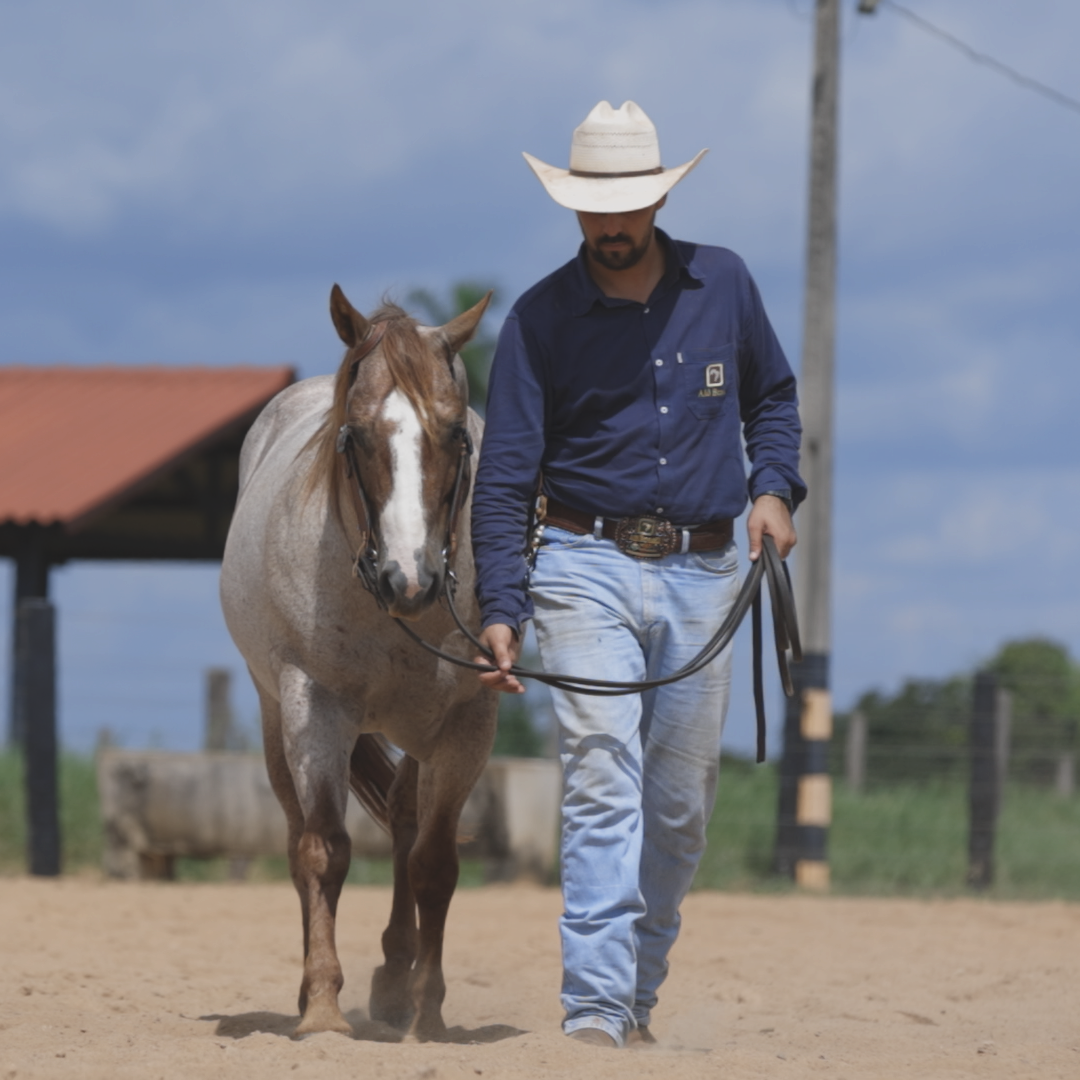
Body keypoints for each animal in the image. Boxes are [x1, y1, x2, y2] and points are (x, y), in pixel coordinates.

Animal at [220, 284, 499, 1039]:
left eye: (454, 432)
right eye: (356, 435)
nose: (411, 579)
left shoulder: (467, 724)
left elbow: (434, 862)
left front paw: (426, 1011)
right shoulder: (316, 708)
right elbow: (325, 849)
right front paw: (321, 1006)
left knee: (404, 823)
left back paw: (396, 983)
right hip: (276, 719)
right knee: (300, 840)